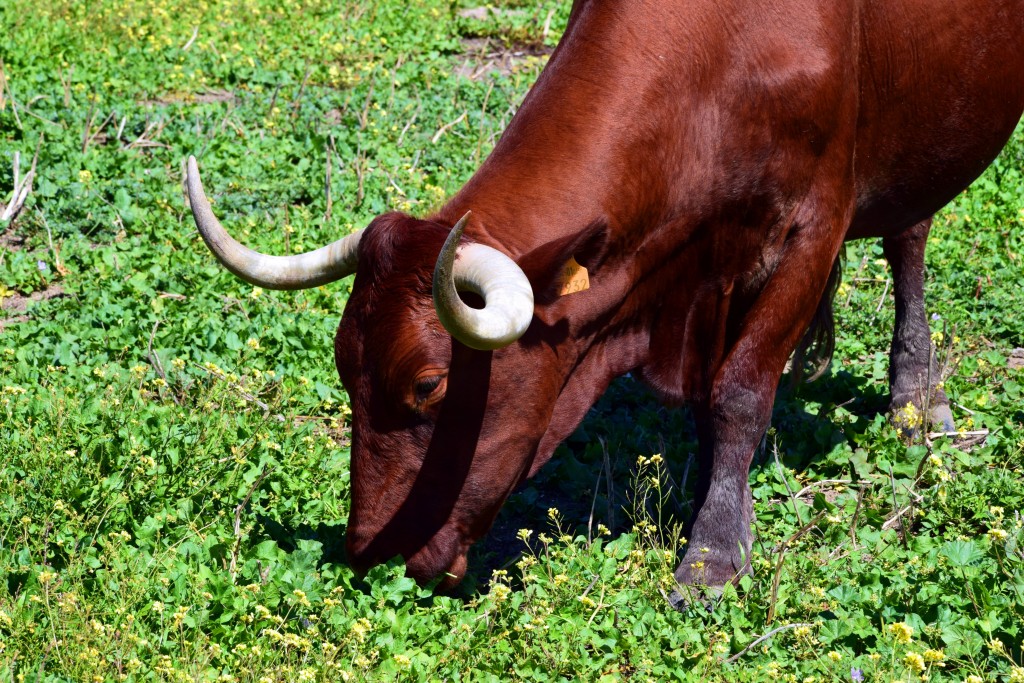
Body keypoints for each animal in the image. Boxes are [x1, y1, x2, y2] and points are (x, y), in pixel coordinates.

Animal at [184, 0, 1024, 593]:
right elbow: (710, 398)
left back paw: (916, 402)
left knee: (909, 239)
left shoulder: (814, 227)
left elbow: (740, 391)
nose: (366, 552)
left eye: (428, 385)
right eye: (344, 369)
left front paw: (713, 553)